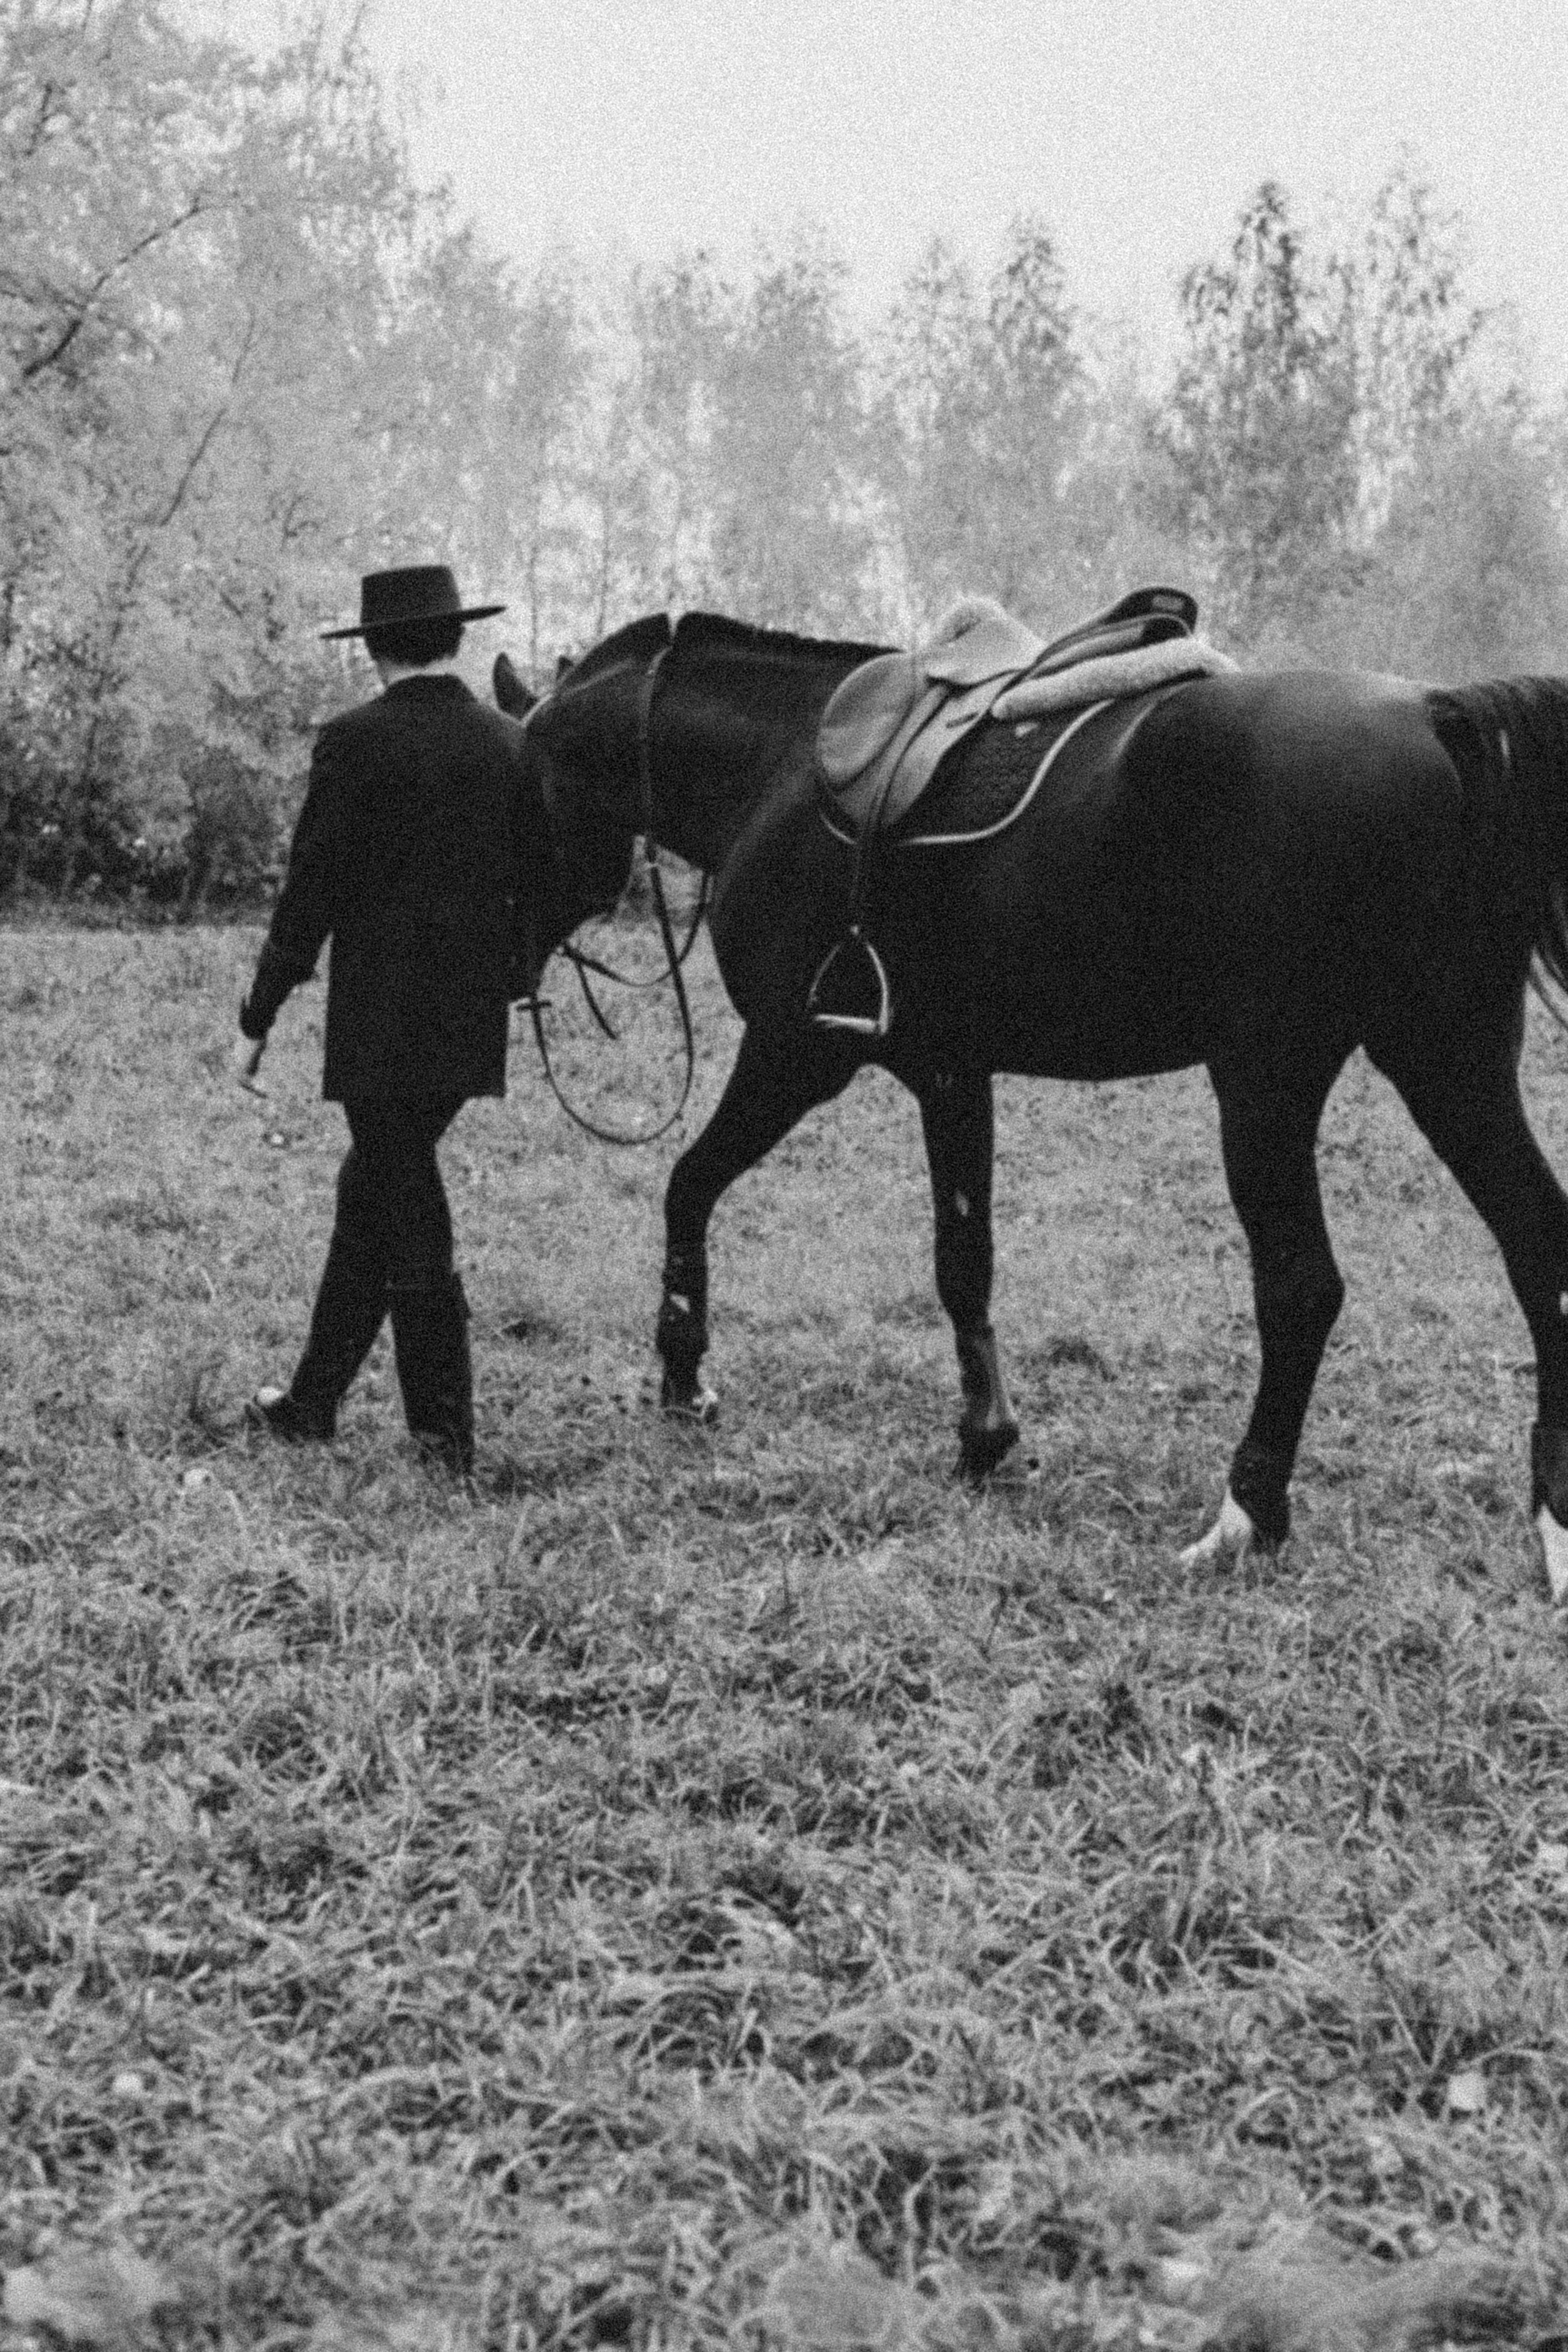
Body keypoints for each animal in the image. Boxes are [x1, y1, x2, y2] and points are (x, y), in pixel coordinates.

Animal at [496, 612, 1568, 1599]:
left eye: (520, 785)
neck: (778, 765)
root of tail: (1436, 713)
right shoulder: (949, 1072)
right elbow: (963, 1262)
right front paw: (986, 1438)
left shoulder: (797, 1053)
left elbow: (689, 1185)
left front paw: (684, 1377)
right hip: (1449, 1061)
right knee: (1537, 1253)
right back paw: (1552, 1519)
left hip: (1271, 1080)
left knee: (1303, 1289)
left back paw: (1244, 1519)